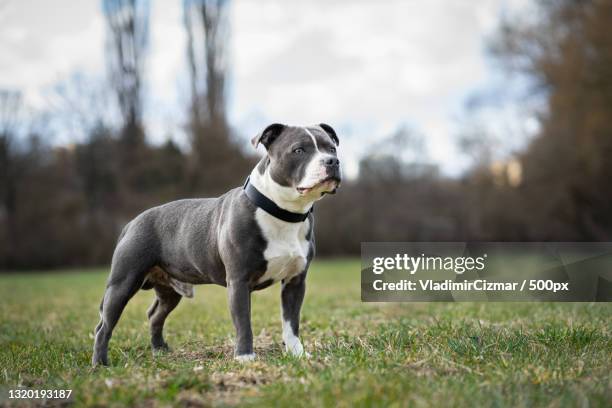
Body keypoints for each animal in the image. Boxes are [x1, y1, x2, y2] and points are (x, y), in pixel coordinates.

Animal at [92, 122, 340, 364]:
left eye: (332, 148)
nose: (332, 161)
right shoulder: (239, 281)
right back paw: (100, 364)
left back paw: (160, 350)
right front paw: (245, 357)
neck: (283, 212)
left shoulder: (295, 282)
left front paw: (297, 354)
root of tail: (131, 222)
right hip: (123, 283)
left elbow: (291, 323)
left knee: (155, 315)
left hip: (169, 291)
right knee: (104, 326)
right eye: (298, 150)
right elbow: (244, 323)